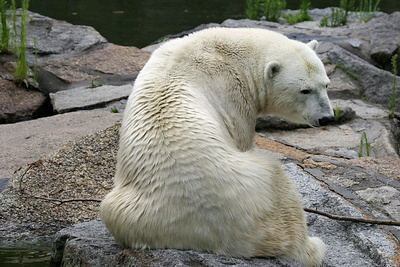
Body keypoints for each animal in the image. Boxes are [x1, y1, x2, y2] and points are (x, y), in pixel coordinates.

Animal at [101, 27, 334, 267]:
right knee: (280, 188)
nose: (327, 118)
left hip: (125, 213)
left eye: (326, 84)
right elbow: (241, 137)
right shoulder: (232, 93)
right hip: (258, 191)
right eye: (305, 90)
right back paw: (312, 245)